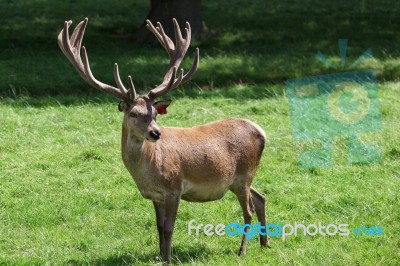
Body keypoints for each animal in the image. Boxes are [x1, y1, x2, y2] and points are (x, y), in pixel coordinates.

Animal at [57, 18, 270, 264]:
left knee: (248, 209)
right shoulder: (155, 195)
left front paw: (168, 259)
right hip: (241, 179)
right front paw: (159, 256)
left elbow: (169, 228)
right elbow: (158, 227)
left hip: (244, 173)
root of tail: (261, 131)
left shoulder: (173, 188)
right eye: (133, 113)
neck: (148, 170)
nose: (155, 133)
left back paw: (242, 250)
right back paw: (265, 243)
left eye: (154, 114)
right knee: (261, 198)